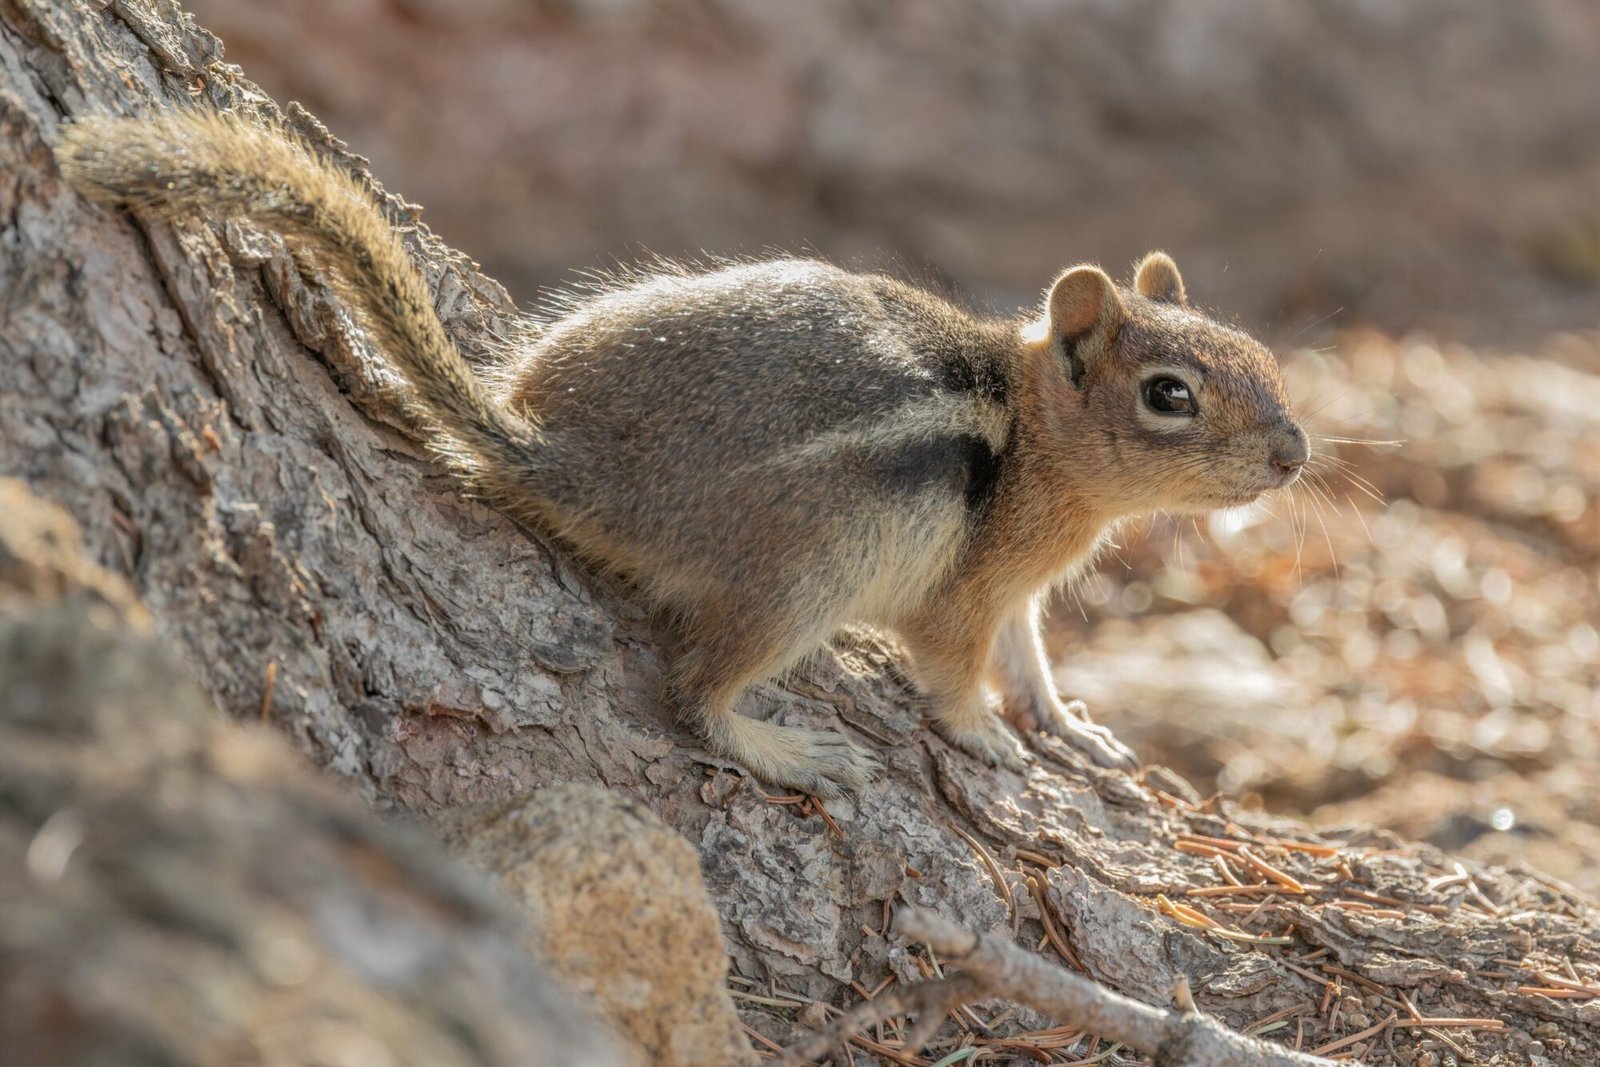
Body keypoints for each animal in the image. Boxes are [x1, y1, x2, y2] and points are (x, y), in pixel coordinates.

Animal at [58, 109, 1308, 798]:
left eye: (1260, 354)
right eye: (1169, 394)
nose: (1296, 455)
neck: (1034, 432)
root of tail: (565, 458)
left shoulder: (1020, 593)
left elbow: (1033, 656)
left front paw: (1068, 724)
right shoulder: (963, 590)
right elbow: (957, 670)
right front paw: (985, 739)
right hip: (810, 571)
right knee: (694, 689)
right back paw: (786, 750)